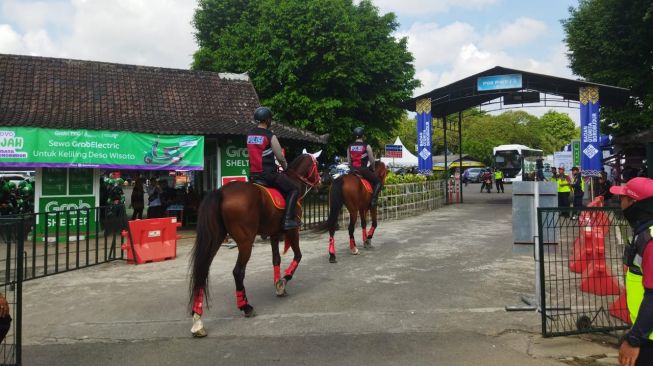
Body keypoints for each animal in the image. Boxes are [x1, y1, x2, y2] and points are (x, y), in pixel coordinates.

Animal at [187, 152, 320, 338]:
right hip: (245, 243)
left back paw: (197, 320)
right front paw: (283, 281)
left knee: (202, 271)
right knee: (238, 272)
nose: (321, 181)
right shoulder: (293, 231)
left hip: (215, 239)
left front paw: (278, 285)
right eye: (316, 165)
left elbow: (276, 260)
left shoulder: (274, 234)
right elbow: (298, 256)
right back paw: (245, 307)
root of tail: (221, 192)